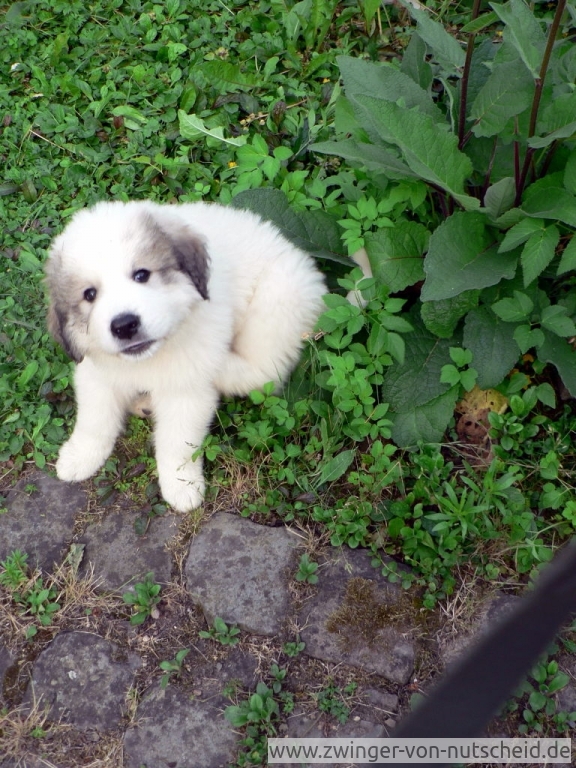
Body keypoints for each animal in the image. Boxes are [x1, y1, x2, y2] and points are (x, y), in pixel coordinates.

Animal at [45, 200, 326, 512]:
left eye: (141, 275)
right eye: (89, 294)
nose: (124, 325)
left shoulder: (185, 394)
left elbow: (177, 441)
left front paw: (182, 485)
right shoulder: (96, 372)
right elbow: (93, 420)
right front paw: (79, 456)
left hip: (277, 302)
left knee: (265, 371)